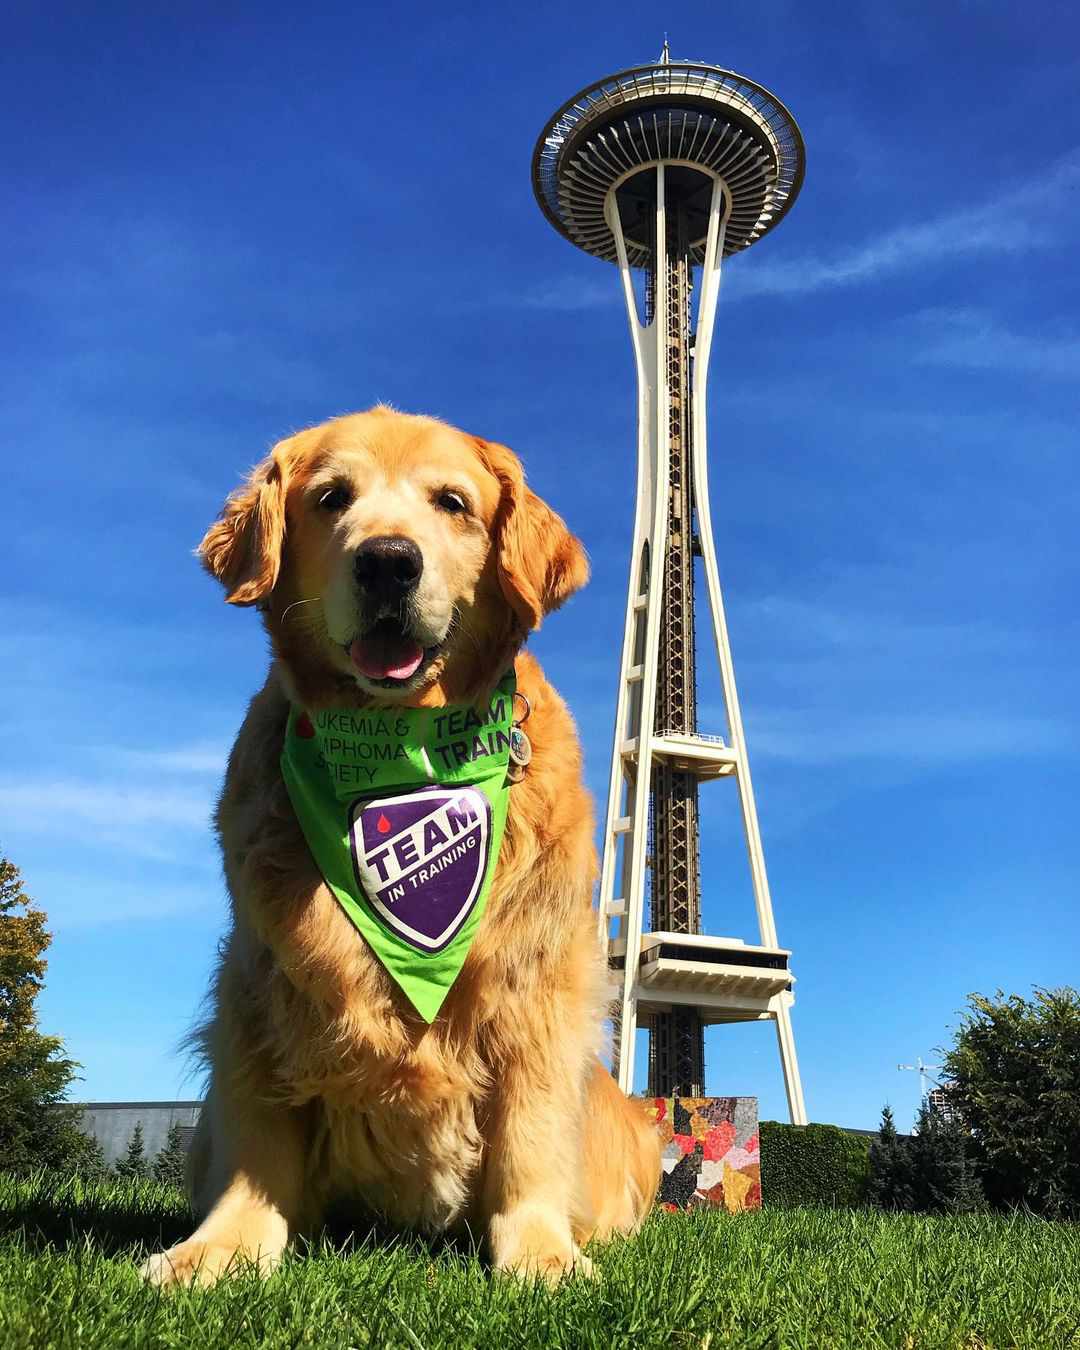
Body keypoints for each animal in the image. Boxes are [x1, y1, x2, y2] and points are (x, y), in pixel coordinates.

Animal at [142, 407, 658, 1285]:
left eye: (451, 502)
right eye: (330, 498)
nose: (388, 561)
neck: (400, 750)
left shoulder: (540, 986)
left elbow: (528, 1134)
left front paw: (541, 1255)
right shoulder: (260, 983)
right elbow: (258, 1134)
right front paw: (224, 1247)